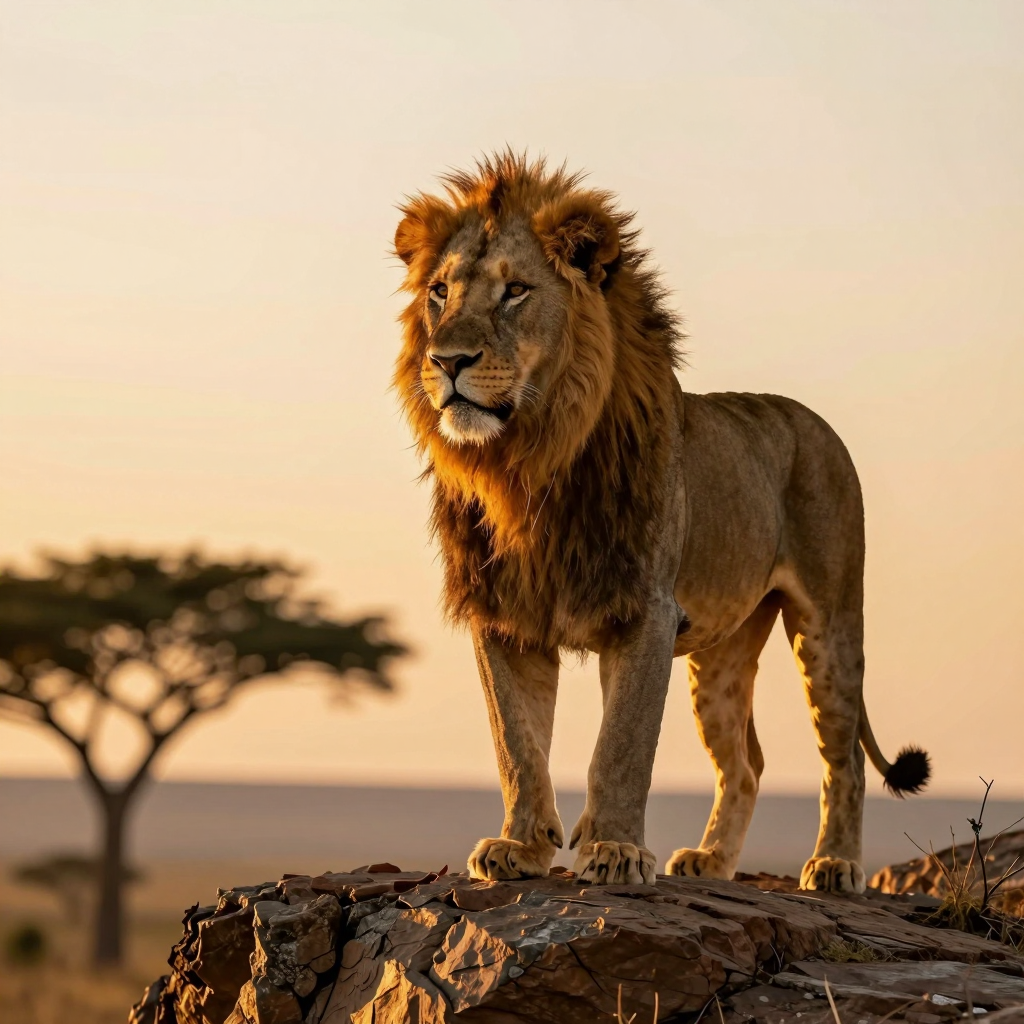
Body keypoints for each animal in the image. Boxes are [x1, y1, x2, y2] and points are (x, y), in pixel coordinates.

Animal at [392, 153, 929, 893]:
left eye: (516, 292)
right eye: (440, 293)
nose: (446, 362)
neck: (526, 465)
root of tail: (811, 419)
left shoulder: (645, 610)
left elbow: (621, 746)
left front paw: (615, 851)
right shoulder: (504, 616)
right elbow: (517, 744)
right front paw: (520, 847)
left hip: (830, 621)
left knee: (842, 755)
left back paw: (835, 865)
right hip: (722, 654)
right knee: (746, 763)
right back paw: (710, 862)